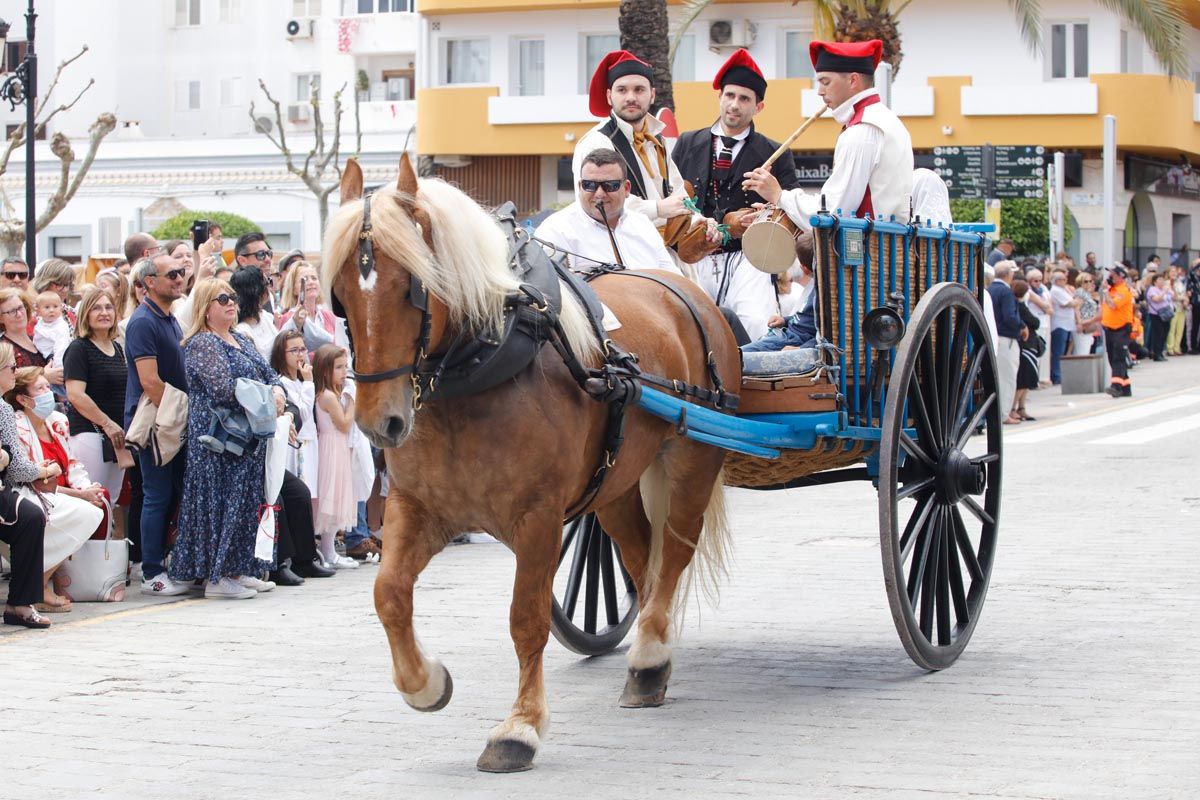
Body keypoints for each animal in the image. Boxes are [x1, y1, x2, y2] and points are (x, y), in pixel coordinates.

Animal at [326, 155, 739, 777]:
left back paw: (648, 654)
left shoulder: (538, 519)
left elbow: (526, 619)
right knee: (642, 557)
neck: (482, 365)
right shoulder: (418, 507)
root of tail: (684, 289)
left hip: (692, 458)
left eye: (413, 288)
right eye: (340, 297)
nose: (382, 424)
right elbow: (389, 594)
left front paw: (519, 727)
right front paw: (425, 684)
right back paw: (652, 652)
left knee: (674, 554)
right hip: (614, 485)